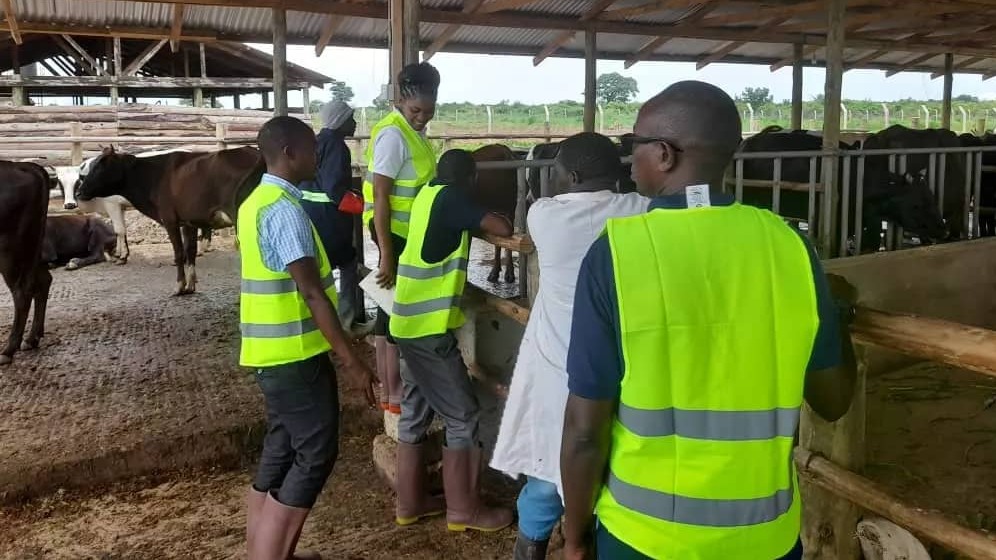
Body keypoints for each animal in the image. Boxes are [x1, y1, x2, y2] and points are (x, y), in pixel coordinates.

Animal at [0, 160, 52, 366]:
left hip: (10, 249)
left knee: (22, 291)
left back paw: (8, 350)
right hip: (32, 247)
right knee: (43, 279)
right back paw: (31, 339)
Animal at [77, 147, 264, 296]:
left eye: (100, 168)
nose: (79, 192)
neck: (153, 177)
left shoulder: (170, 220)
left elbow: (179, 253)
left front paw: (179, 287)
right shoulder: (189, 222)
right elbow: (190, 251)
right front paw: (190, 286)